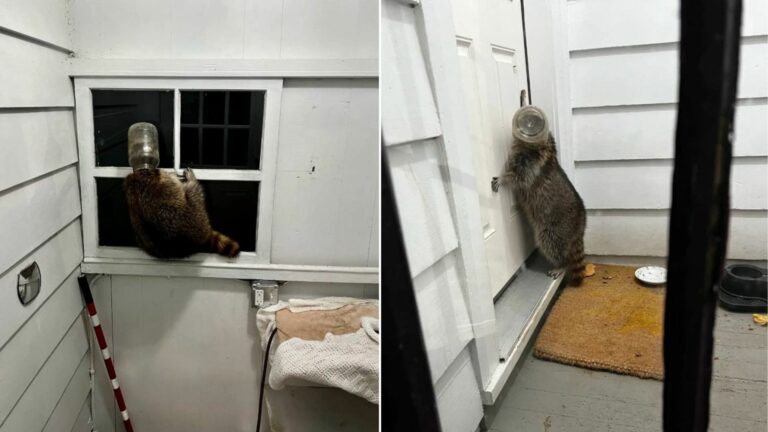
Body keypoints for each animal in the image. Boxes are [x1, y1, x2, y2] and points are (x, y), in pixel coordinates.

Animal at [492, 116, 587, 284]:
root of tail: (580, 226)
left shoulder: (531, 163)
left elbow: (519, 178)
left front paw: (504, 179)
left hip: (556, 229)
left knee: (551, 243)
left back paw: (562, 264)